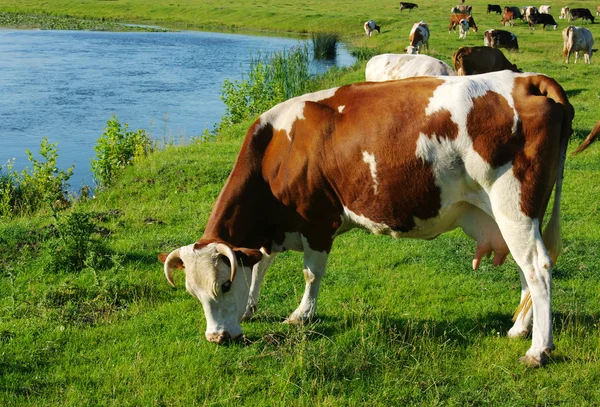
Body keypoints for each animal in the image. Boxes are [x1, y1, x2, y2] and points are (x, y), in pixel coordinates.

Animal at [158, 71, 580, 370]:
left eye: (224, 285)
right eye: (192, 292)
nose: (217, 338)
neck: (278, 147)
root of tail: (526, 80)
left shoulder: (317, 221)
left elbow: (310, 274)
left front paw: (300, 315)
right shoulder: (271, 232)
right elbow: (260, 265)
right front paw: (250, 308)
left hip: (514, 204)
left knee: (538, 267)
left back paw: (539, 349)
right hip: (513, 214)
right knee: (527, 269)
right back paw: (519, 330)